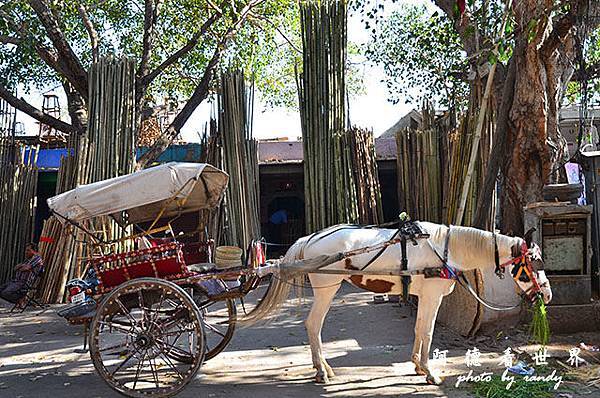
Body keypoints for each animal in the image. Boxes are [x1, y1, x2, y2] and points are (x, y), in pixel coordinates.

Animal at [243, 221, 548, 386]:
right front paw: (430, 373)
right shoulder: (432, 296)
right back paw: (321, 371)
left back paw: (324, 368)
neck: (447, 248)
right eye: (534, 262)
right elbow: (428, 332)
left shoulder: (425, 297)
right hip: (327, 288)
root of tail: (309, 239)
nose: (546, 295)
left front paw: (418, 365)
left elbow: (420, 329)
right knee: (313, 325)